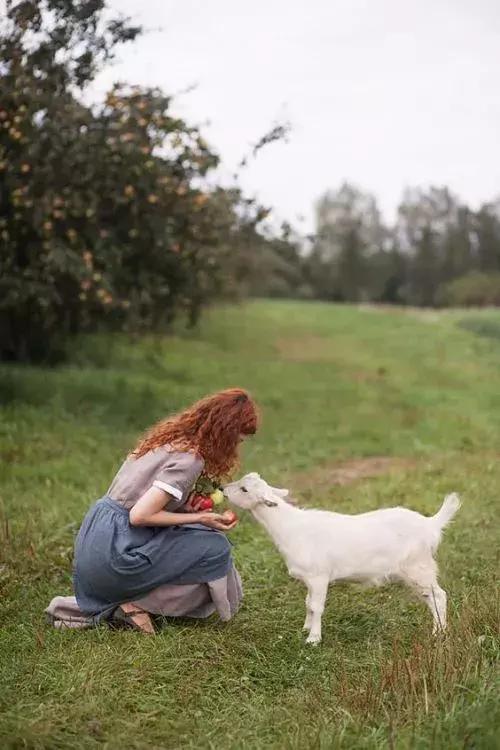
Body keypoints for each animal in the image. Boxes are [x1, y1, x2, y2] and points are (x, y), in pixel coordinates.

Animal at [224, 476, 460, 648]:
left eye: (244, 489)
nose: (223, 488)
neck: (290, 527)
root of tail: (431, 524)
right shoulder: (310, 579)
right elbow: (308, 603)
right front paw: (306, 628)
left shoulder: (319, 576)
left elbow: (317, 606)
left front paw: (313, 639)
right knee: (431, 597)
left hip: (418, 566)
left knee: (440, 596)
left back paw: (438, 632)